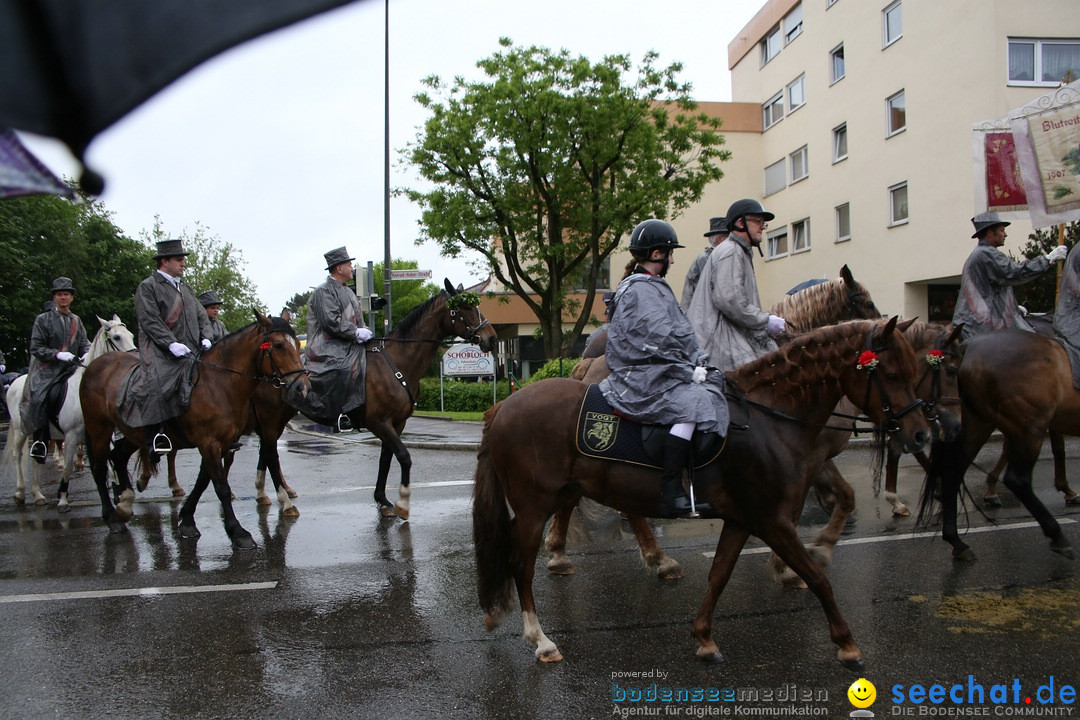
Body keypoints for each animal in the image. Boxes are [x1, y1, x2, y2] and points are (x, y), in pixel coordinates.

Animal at [4, 315, 137, 511]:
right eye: (117, 337)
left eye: (132, 335)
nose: (134, 360)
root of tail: (14, 383)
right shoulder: (72, 435)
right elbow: (67, 467)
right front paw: (63, 499)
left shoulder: (104, 433)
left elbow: (109, 464)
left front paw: (118, 495)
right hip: (21, 430)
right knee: (17, 455)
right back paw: (20, 493)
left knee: (36, 458)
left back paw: (38, 495)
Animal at [78, 313, 308, 548]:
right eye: (278, 346)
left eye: (297, 343)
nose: (301, 386)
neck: (218, 385)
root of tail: (97, 364)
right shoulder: (219, 440)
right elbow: (227, 483)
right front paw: (240, 530)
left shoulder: (224, 440)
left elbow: (205, 480)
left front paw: (187, 520)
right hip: (99, 427)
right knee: (99, 468)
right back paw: (113, 517)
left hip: (134, 432)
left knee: (119, 455)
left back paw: (125, 502)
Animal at [477, 317, 933, 669]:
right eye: (891, 374)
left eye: (916, 374)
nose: (921, 434)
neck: (769, 418)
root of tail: (505, 406)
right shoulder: (772, 520)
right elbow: (818, 576)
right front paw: (847, 644)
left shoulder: (741, 519)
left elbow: (719, 574)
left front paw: (705, 638)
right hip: (533, 506)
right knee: (521, 565)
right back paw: (541, 639)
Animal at [920, 328, 1080, 561]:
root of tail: (968, 348)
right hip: (1031, 428)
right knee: (1017, 480)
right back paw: (1056, 535)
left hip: (977, 424)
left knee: (953, 472)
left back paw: (957, 542)